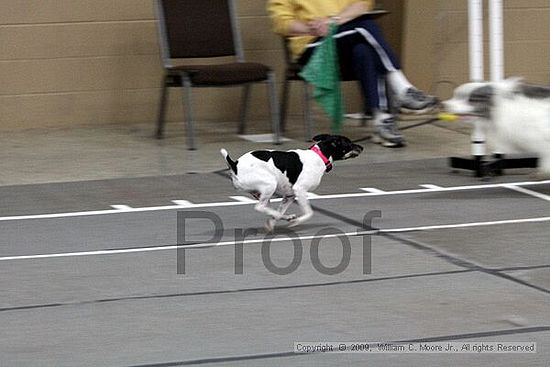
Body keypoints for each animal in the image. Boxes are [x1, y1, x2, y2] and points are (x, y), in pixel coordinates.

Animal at [222, 135, 364, 231]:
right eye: (349, 143)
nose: (362, 147)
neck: (319, 156)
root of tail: (235, 165)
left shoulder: (289, 196)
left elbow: (279, 211)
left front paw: (272, 224)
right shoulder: (300, 190)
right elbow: (309, 212)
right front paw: (297, 222)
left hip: (264, 194)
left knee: (271, 210)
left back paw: (286, 217)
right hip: (270, 184)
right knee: (260, 207)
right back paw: (289, 218)